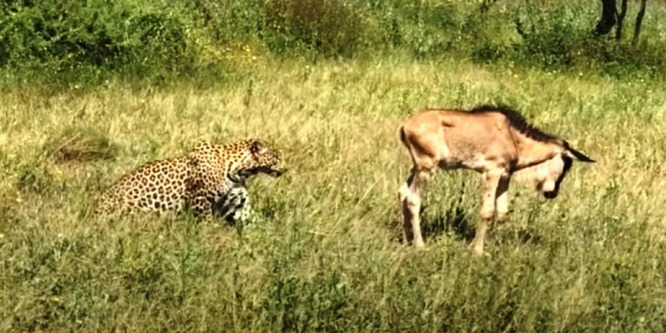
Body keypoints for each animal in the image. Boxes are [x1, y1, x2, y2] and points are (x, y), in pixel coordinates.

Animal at [97, 139, 284, 222]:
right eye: (277, 157)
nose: (286, 169)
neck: (240, 171)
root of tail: (95, 210)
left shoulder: (238, 200)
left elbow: (251, 217)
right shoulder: (200, 200)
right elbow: (206, 222)